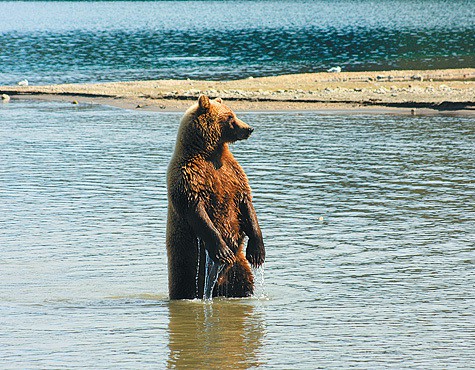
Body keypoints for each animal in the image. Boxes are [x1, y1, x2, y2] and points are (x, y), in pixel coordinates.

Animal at [166, 94, 264, 300]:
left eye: (233, 113)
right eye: (230, 117)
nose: (249, 129)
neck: (208, 151)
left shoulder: (232, 173)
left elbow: (246, 202)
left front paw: (257, 252)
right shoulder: (188, 176)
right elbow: (197, 210)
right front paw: (222, 250)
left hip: (239, 269)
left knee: (244, 284)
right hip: (186, 264)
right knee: (184, 286)